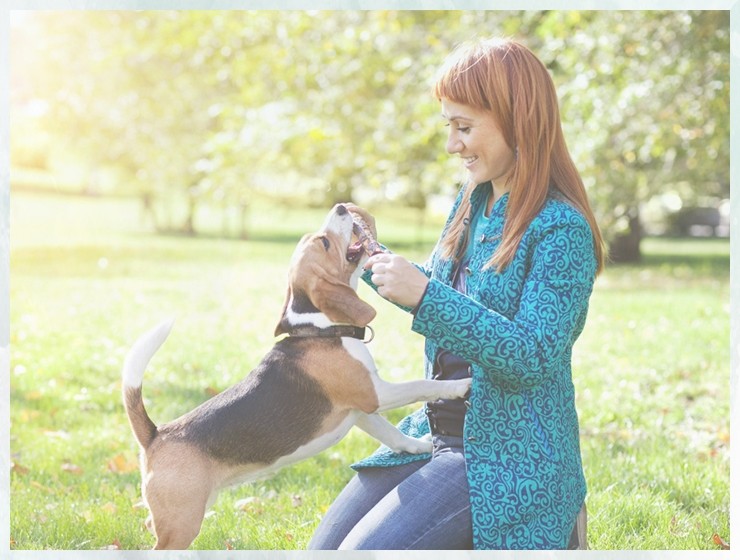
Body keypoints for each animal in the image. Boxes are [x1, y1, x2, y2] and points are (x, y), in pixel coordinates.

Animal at [120, 203, 468, 548]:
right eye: (325, 243)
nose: (341, 207)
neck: (321, 327)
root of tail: (156, 434)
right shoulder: (375, 394)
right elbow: (422, 385)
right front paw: (461, 385)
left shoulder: (360, 410)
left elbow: (393, 435)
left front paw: (419, 447)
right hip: (183, 522)